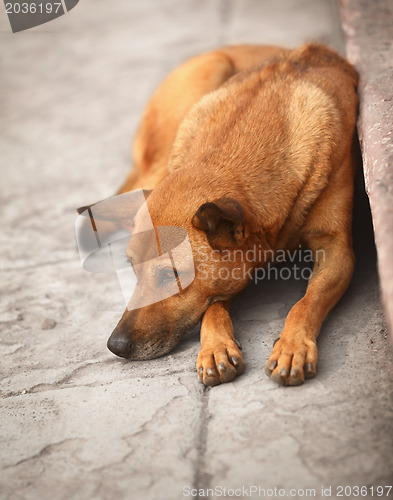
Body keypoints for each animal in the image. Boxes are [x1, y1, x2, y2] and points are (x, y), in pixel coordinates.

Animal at [95, 44, 358, 386]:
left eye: (171, 275)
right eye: (132, 268)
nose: (116, 345)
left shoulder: (336, 250)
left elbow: (306, 302)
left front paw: (292, 346)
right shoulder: (225, 278)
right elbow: (212, 307)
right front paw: (215, 347)